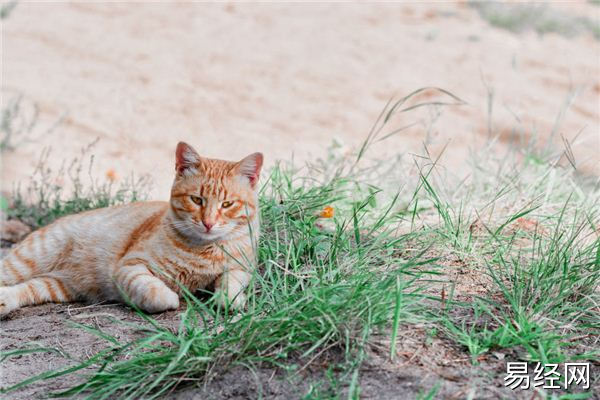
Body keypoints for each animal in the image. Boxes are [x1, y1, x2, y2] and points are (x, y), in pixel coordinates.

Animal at [0, 142, 262, 318]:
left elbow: (232, 284)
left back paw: (5, 301)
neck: (204, 250)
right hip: (27, 261)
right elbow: (158, 293)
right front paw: (173, 295)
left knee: (26, 289)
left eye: (227, 204)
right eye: (196, 200)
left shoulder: (241, 268)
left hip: (56, 285)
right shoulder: (130, 266)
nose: (208, 223)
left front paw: (230, 299)